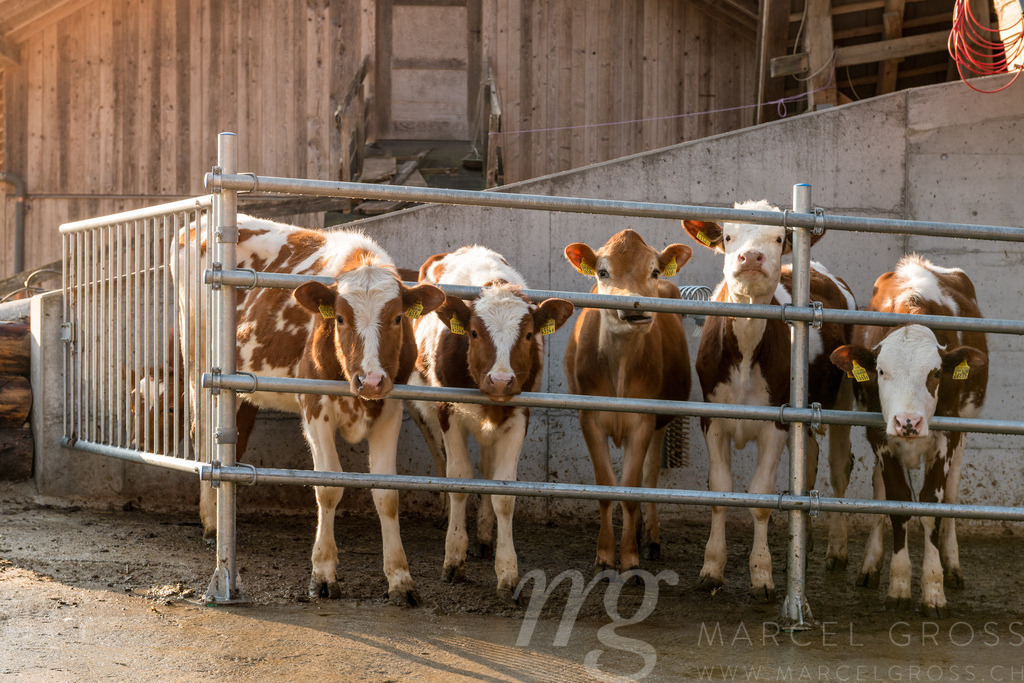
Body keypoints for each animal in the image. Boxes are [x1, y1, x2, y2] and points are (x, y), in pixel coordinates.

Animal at [174, 215, 445, 605]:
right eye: (341, 319)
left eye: (397, 319)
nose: (371, 380)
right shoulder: (315, 409)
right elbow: (328, 486)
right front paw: (323, 573)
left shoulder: (390, 410)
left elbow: (387, 494)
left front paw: (400, 578)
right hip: (201, 369)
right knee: (203, 439)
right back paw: (212, 523)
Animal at [407, 245, 574, 601]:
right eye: (474, 333)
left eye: (528, 335)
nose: (500, 381)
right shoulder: (447, 411)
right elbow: (458, 479)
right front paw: (454, 558)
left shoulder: (519, 416)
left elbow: (503, 492)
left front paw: (507, 571)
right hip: (422, 410)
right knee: (441, 456)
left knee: (485, 465)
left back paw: (484, 537)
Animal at [563, 229, 692, 575]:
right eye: (602, 272)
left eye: (654, 271)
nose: (634, 307)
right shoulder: (590, 419)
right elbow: (607, 488)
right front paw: (606, 555)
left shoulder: (644, 420)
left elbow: (632, 489)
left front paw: (631, 559)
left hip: (660, 422)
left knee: (650, 475)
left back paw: (650, 540)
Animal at [683, 200, 857, 600]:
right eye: (728, 237)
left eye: (778, 238)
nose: (751, 257)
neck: (746, 352)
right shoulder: (711, 418)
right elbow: (720, 489)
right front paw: (712, 568)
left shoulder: (777, 423)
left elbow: (761, 497)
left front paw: (762, 574)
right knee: (809, 463)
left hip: (844, 395)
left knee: (840, 466)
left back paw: (837, 550)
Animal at [829, 255, 987, 616]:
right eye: (880, 371)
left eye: (936, 373)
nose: (908, 422)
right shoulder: (880, 435)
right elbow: (897, 500)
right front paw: (899, 584)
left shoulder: (947, 436)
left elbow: (933, 505)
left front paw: (933, 587)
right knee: (880, 488)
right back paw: (871, 565)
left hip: (963, 431)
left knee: (952, 492)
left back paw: (952, 564)